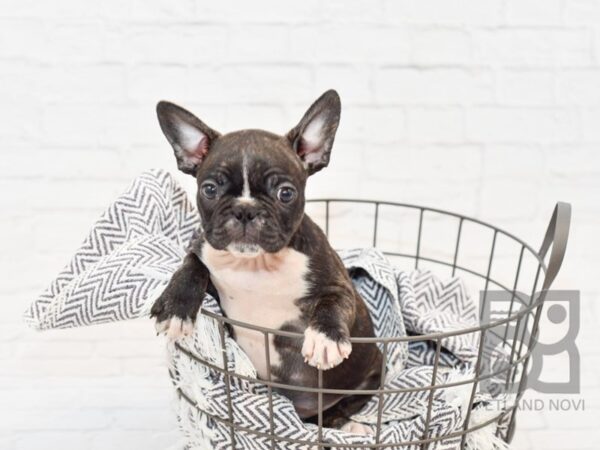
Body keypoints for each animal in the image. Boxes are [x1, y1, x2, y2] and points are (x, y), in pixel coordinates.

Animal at [152, 89, 382, 430]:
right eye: (210, 189)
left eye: (285, 193)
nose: (245, 210)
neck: (257, 266)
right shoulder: (202, 252)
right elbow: (190, 267)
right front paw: (175, 309)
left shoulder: (337, 282)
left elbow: (334, 302)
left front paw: (324, 338)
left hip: (373, 370)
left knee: (344, 405)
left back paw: (347, 423)